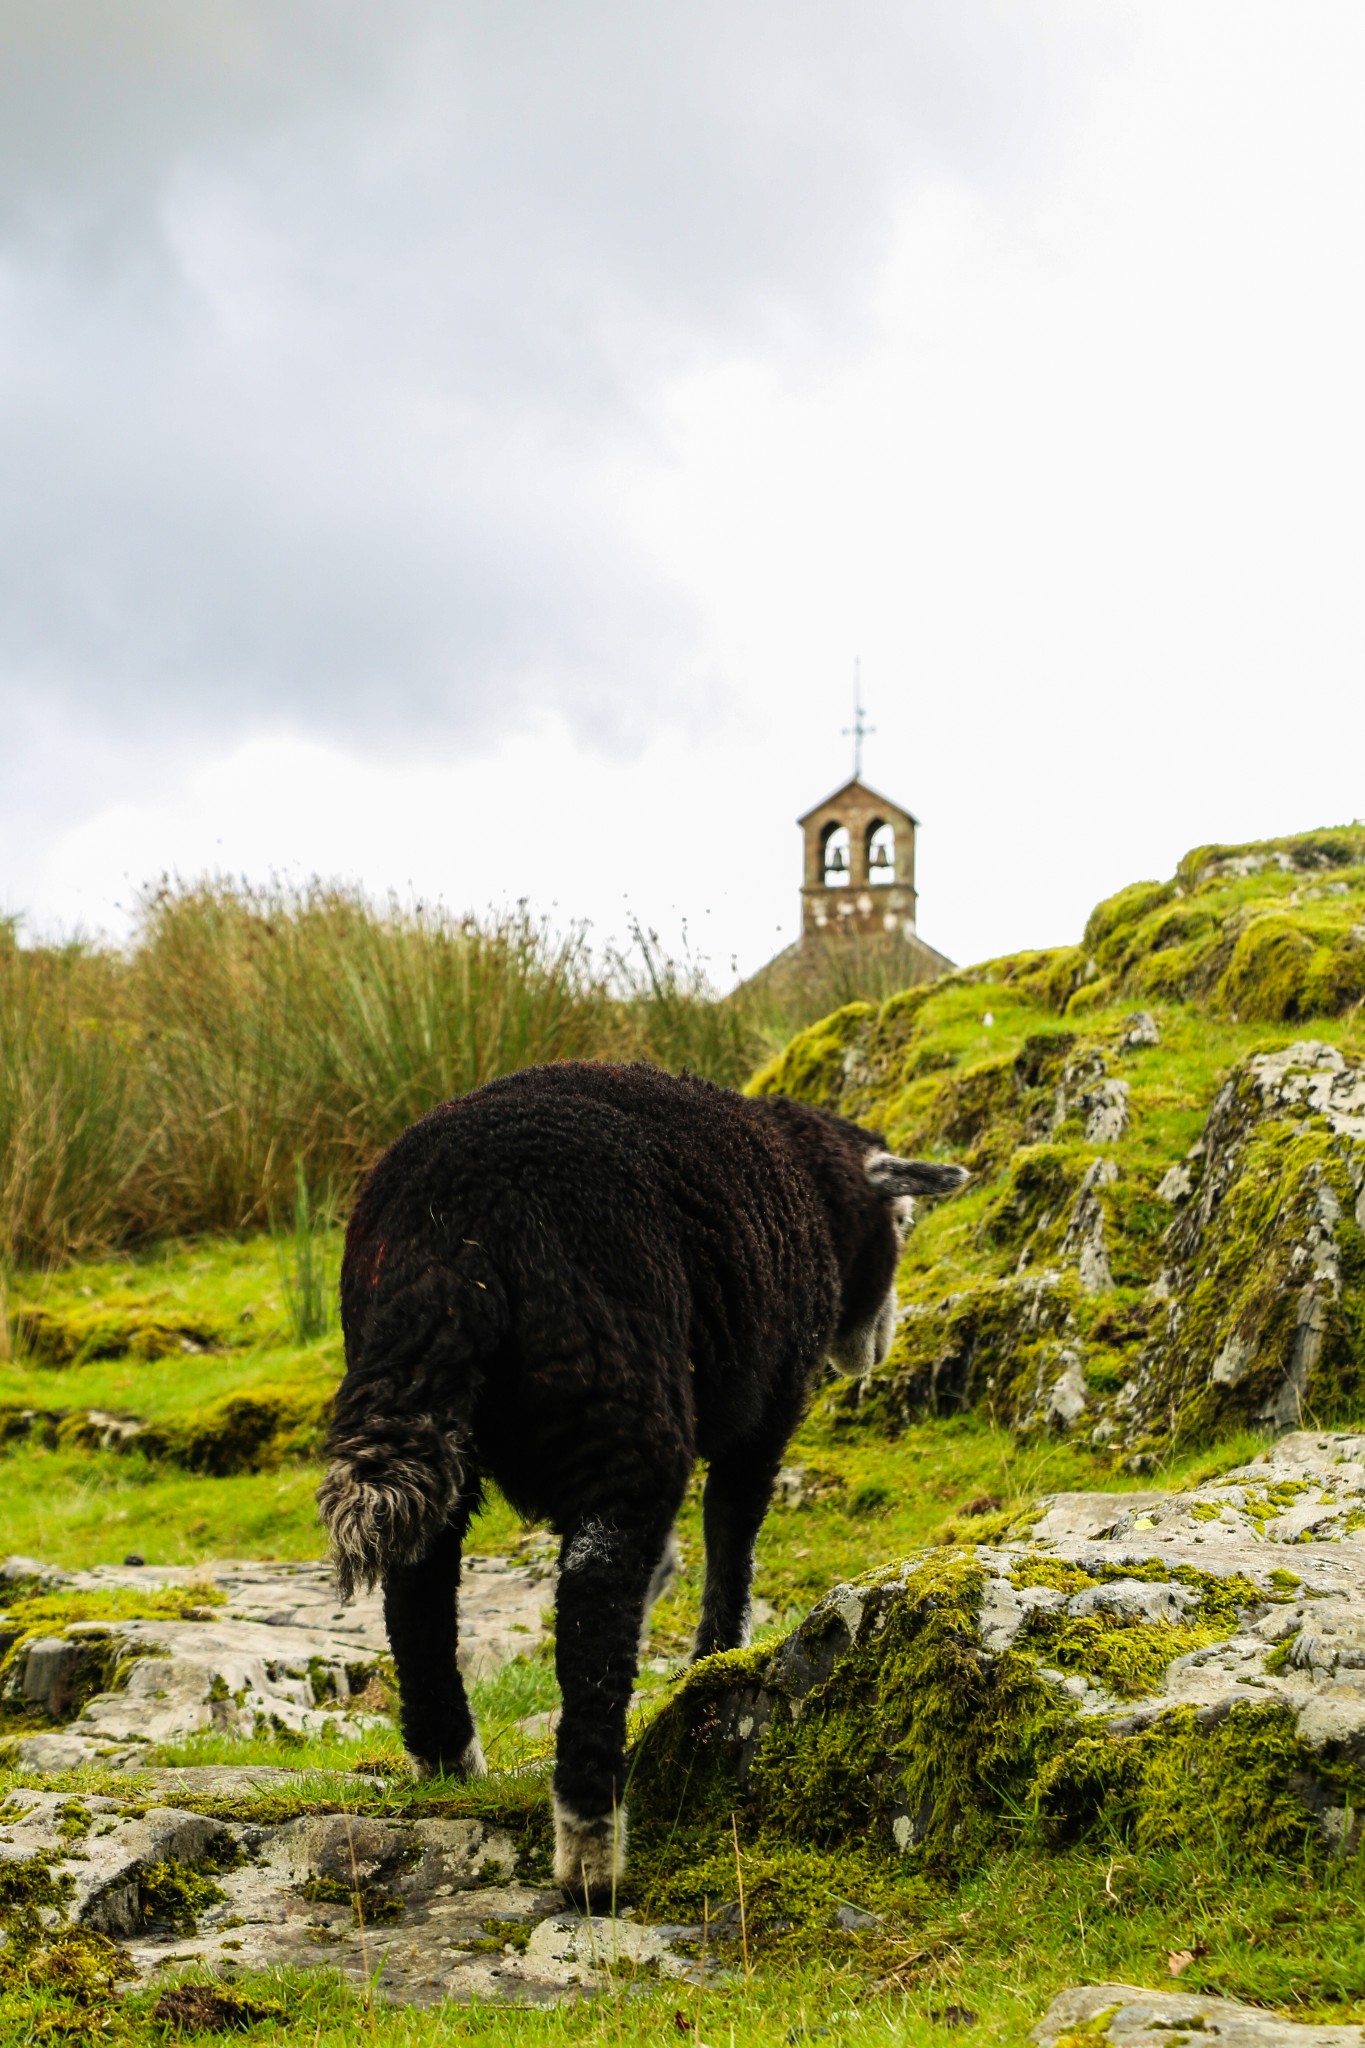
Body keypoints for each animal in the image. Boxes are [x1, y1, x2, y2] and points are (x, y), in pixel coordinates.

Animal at [317, 1056, 970, 1900]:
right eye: (900, 1223)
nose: (876, 1346)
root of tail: (451, 1234)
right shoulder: (767, 1401)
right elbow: (734, 1532)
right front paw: (716, 1659)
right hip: (619, 1394)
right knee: (595, 1599)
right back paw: (592, 1846)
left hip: (431, 1400)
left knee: (419, 1585)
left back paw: (447, 1760)